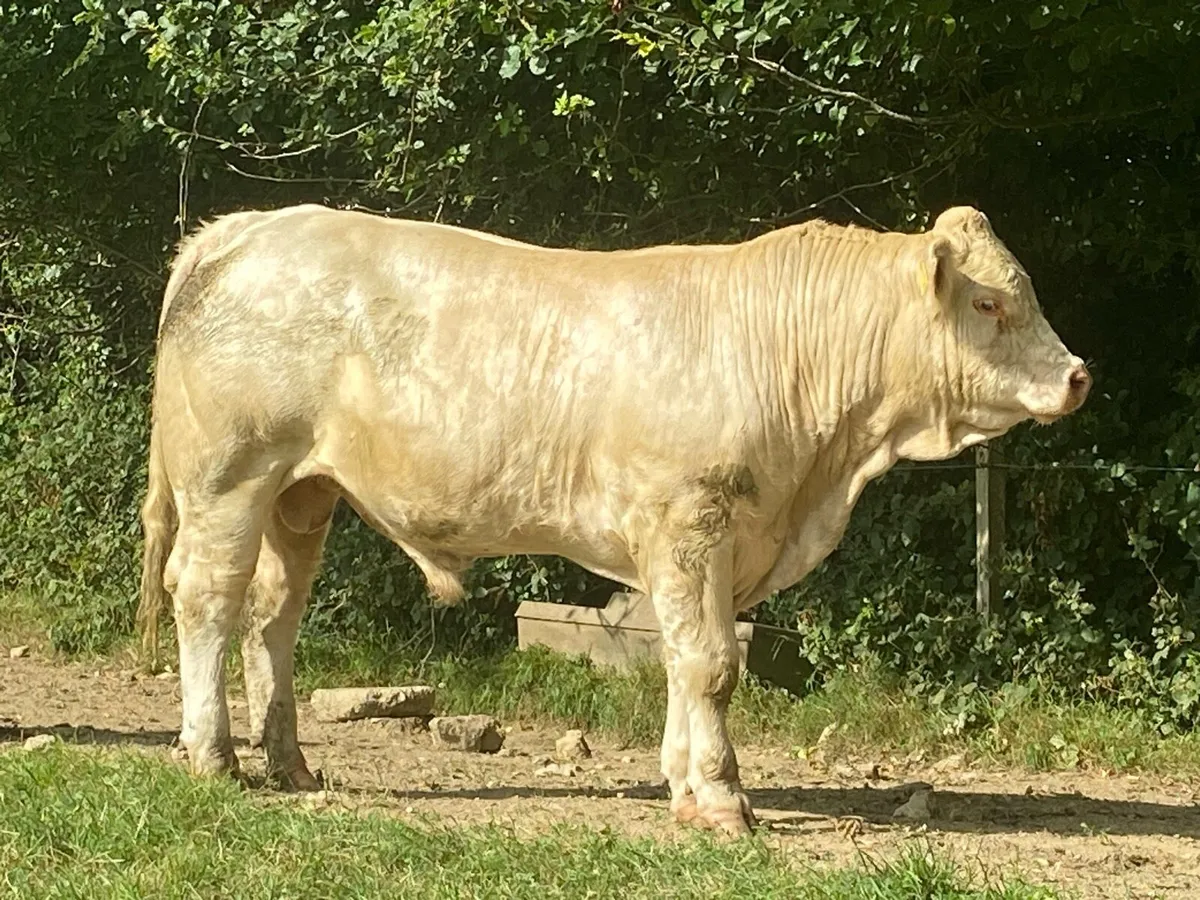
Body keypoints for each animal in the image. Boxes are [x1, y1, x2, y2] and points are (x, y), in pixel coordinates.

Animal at [137, 203, 1090, 835]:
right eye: (990, 304)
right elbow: (710, 665)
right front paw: (723, 801)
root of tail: (245, 227)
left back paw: (289, 765)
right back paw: (215, 757)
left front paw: (684, 786)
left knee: (274, 615)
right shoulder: (689, 521)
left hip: (302, 493)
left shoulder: (705, 545)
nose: (1079, 374)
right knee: (209, 599)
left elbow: (681, 659)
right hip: (230, 477)